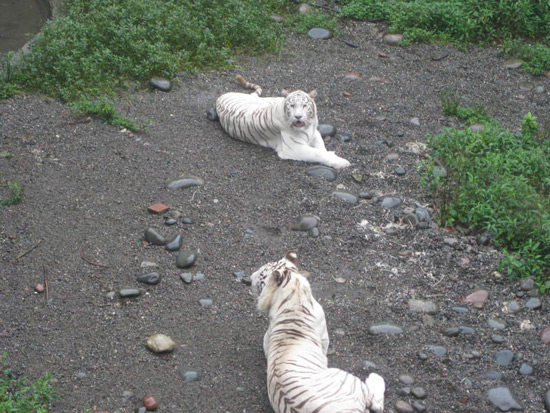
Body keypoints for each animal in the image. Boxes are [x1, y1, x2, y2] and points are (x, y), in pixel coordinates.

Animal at [217, 74, 352, 169]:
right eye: (292, 106)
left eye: (304, 106)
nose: (298, 116)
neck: (307, 127)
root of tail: (221, 96)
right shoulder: (293, 148)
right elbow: (317, 153)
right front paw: (340, 162)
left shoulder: (315, 133)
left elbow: (321, 147)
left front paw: (331, 153)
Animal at [252, 251, 386, 412]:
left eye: (261, 274)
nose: (248, 279)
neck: (294, 296)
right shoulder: (323, 337)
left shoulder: (268, 336)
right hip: (348, 380)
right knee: (376, 403)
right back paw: (375, 377)